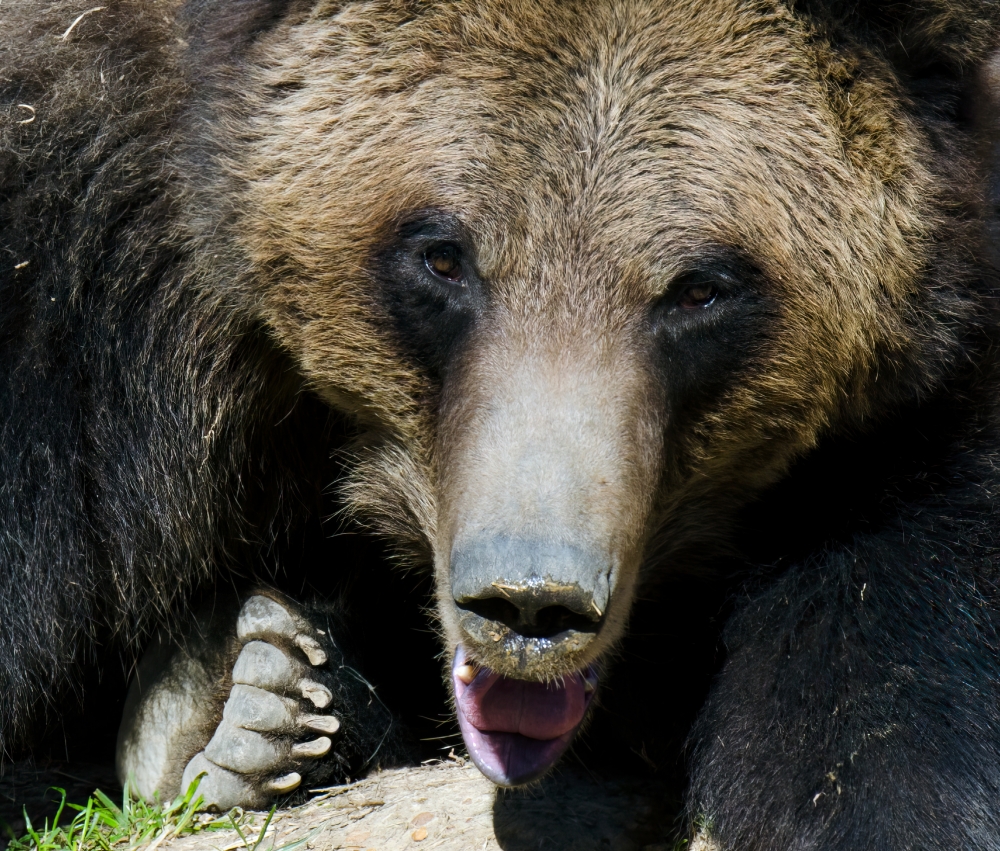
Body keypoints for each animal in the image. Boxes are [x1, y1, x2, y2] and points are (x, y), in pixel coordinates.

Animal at [1, 0, 1000, 848]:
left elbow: (883, 674)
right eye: (442, 254)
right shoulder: (78, 277)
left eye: (699, 288)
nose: (530, 601)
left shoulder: (902, 429)